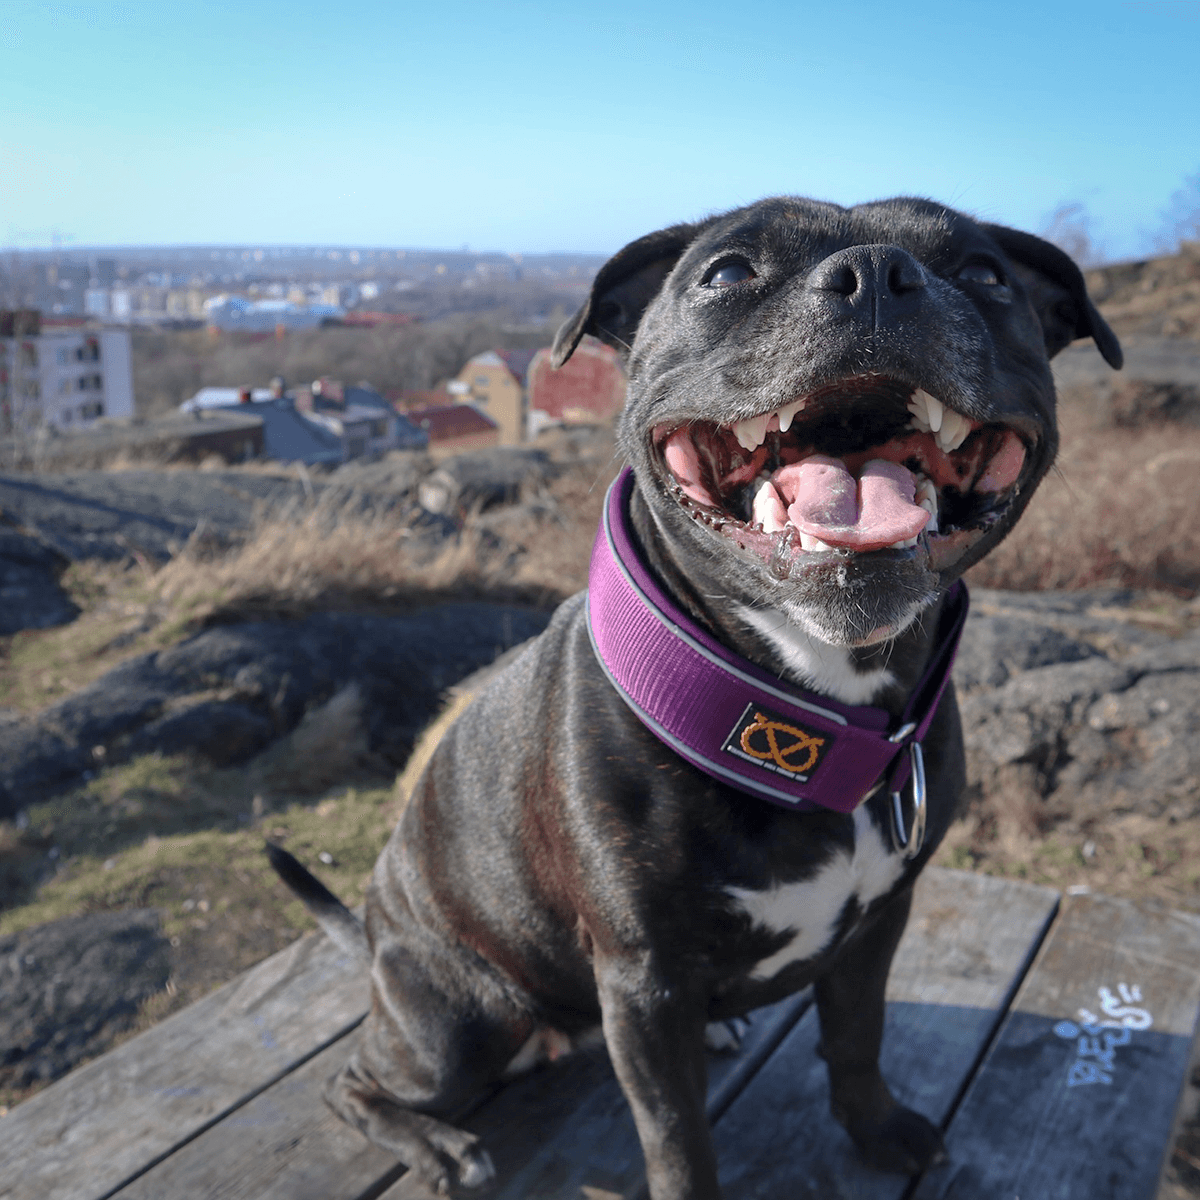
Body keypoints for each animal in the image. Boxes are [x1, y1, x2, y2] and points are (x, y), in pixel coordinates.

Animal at [267, 199, 1118, 1200]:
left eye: (986, 275)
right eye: (727, 272)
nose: (876, 272)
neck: (799, 717)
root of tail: (373, 937)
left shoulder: (877, 925)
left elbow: (857, 1037)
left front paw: (877, 1131)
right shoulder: (646, 983)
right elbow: (675, 1135)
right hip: (458, 1024)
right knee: (353, 1083)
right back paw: (436, 1145)